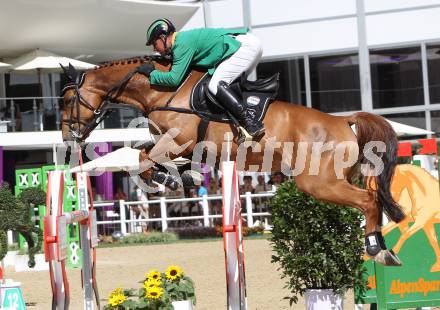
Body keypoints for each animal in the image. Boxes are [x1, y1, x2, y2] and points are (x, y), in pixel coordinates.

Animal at [61, 57, 406, 266]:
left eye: (66, 99)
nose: (68, 136)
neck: (161, 90)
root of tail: (344, 121)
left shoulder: (179, 142)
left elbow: (145, 158)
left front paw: (169, 178)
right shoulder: (180, 147)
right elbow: (145, 155)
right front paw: (180, 178)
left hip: (319, 183)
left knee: (369, 201)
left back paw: (377, 250)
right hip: (337, 179)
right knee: (372, 199)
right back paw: (383, 247)